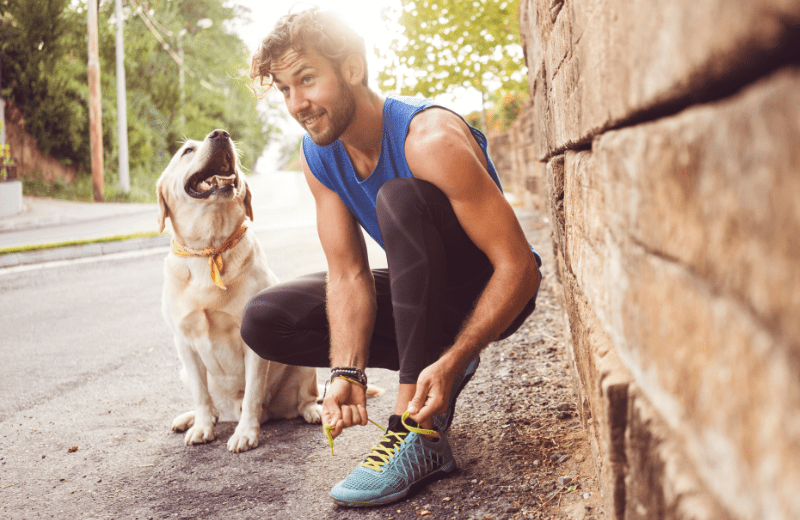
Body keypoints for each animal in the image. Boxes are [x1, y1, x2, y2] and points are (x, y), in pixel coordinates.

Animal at [156, 129, 322, 450]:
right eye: (187, 150)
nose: (220, 134)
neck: (209, 248)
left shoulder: (252, 343)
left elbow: (253, 393)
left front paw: (246, 433)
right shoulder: (184, 343)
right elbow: (201, 394)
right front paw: (202, 427)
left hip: (302, 366)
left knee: (306, 397)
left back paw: (313, 412)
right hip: (185, 372)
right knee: (212, 405)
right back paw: (191, 418)